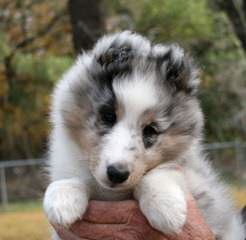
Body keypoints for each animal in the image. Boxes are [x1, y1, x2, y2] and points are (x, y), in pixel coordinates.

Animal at [43, 31, 245, 239]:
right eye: (108, 116)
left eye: (150, 130)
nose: (117, 174)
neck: (114, 195)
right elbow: (77, 178)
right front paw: (62, 198)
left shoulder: (200, 183)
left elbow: (164, 171)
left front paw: (165, 207)